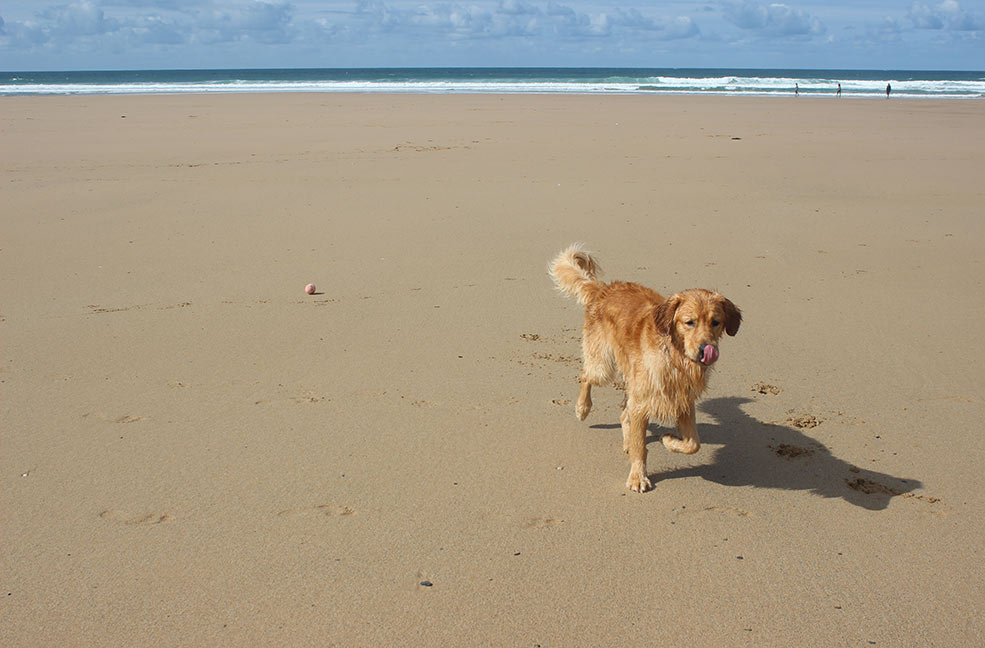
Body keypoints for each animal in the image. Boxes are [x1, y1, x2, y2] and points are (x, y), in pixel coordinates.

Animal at [544, 243, 736, 492]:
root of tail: (605, 288)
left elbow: (693, 443)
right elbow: (640, 447)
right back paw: (582, 408)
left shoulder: (683, 402)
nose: (706, 350)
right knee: (586, 375)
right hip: (603, 366)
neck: (674, 358)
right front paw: (638, 476)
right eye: (689, 322)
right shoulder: (644, 401)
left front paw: (668, 440)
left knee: (623, 411)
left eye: (716, 322)